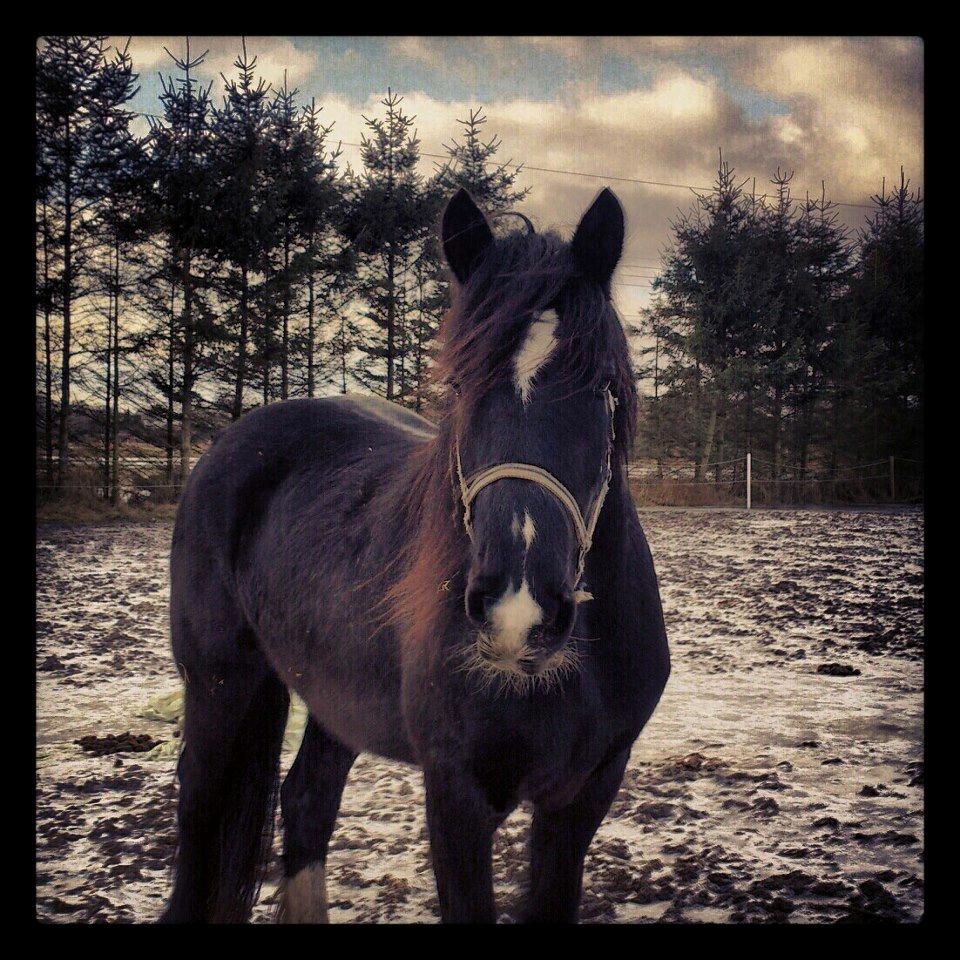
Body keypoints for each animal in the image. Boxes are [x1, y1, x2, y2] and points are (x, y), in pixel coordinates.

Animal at [159, 186, 668, 924]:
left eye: (601, 384)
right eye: (459, 387)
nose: (517, 610)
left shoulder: (586, 794)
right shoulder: (455, 795)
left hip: (333, 693)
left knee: (307, 800)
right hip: (218, 685)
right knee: (200, 824)